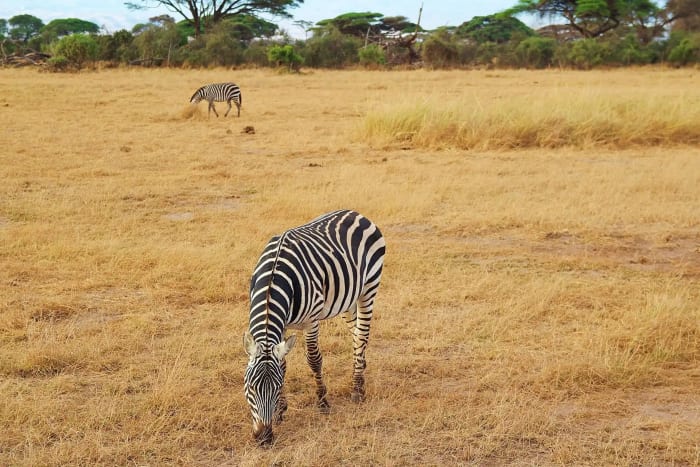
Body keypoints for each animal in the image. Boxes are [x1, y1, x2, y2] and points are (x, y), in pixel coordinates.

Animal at [243, 209, 385, 445]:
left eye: (275, 388)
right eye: (251, 387)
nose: (264, 438)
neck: (274, 277)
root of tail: (356, 213)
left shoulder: (312, 321)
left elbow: (313, 359)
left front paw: (322, 401)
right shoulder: (281, 327)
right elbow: (283, 365)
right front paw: (281, 410)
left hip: (369, 287)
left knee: (362, 335)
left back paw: (357, 389)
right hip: (348, 298)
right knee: (356, 334)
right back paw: (361, 370)